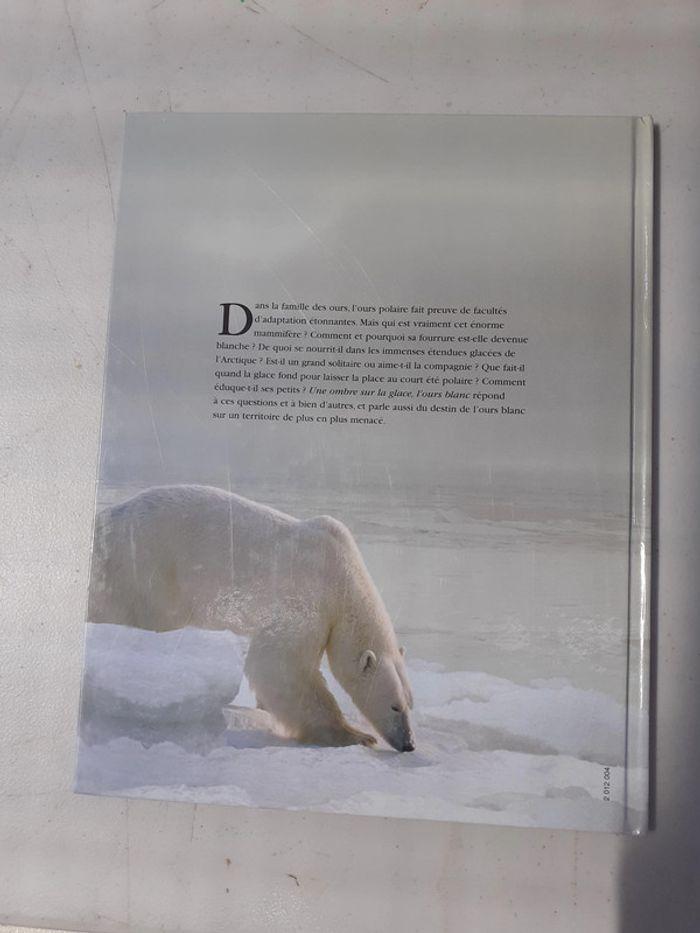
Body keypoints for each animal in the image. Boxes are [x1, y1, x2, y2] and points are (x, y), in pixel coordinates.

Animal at [87, 484, 416, 752]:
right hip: (146, 568)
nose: (408, 744)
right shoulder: (306, 599)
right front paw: (354, 734)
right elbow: (280, 665)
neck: (343, 575)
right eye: (394, 707)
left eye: (411, 704)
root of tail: (103, 522)